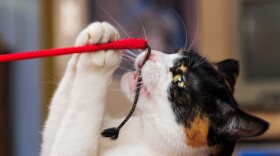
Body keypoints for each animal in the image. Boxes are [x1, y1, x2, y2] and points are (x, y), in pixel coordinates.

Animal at [40, 22, 270, 156]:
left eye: (180, 80)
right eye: (176, 51)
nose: (151, 55)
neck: (141, 134)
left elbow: (83, 106)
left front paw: (98, 60)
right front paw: (94, 37)